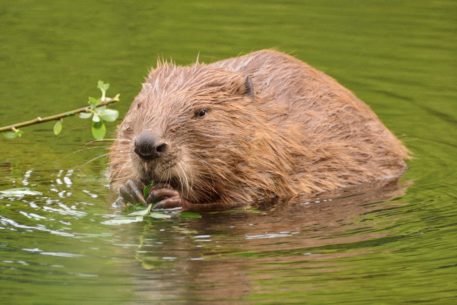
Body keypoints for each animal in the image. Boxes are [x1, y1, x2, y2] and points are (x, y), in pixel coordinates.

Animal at [108, 50, 408, 210]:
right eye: (140, 104)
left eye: (201, 112)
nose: (147, 145)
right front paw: (129, 189)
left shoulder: (269, 161)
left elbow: (240, 199)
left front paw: (172, 198)